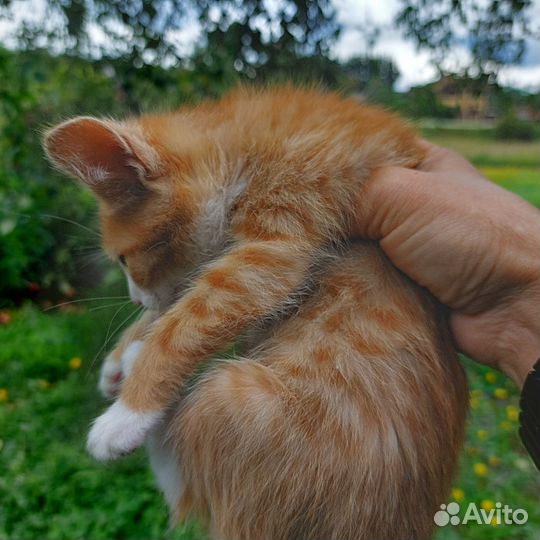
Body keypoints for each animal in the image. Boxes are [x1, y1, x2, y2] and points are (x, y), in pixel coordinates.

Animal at [45, 86, 468, 536]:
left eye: (124, 260)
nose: (136, 299)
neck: (242, 146)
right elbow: (178, 303)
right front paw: (121, 356)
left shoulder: (276, 242)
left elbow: (190, 318)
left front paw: (128, 409)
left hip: (235, 402)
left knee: (192, 486)